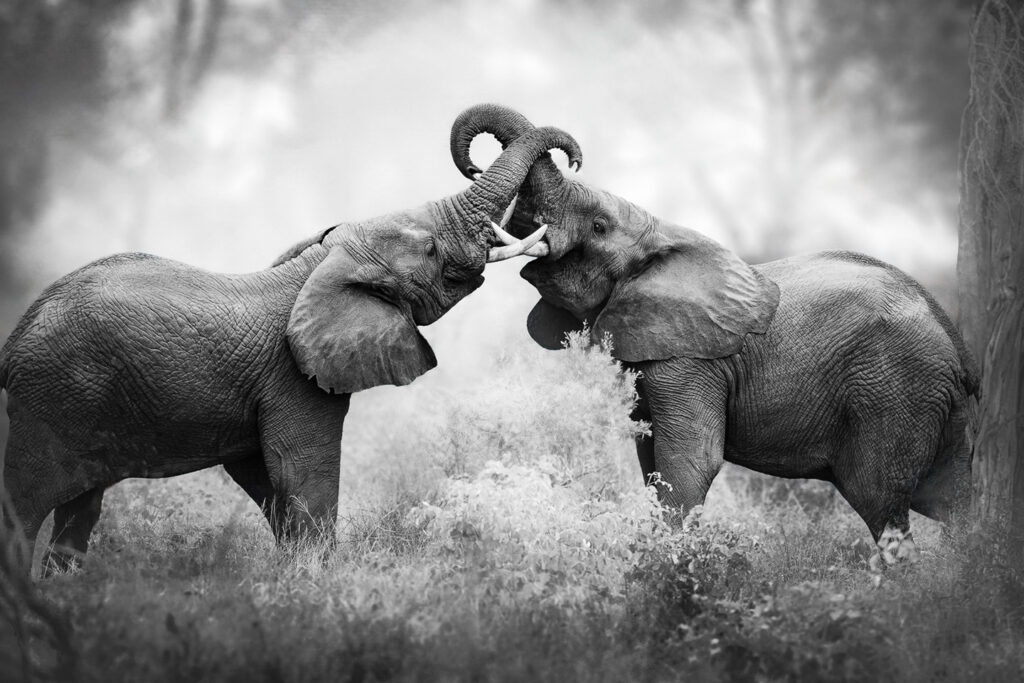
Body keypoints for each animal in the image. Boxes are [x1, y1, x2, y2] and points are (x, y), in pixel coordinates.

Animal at [0, 124, 581, 576]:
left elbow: (267, 480)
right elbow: (302, 471)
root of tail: (14, 341)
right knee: (26, 504)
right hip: (53, 401)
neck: (316, 267)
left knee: (81, 510)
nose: (572, 160)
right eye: (430, 248)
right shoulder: (292, 376)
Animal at [450, 104, 979, 565]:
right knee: (951, 498)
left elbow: (690, 463)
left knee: (882, 500)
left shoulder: (691, 361)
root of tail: (957, 345)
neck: (663, 235)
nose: (475, 168)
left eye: (598, 225)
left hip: (894, 394)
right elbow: (651, 463)